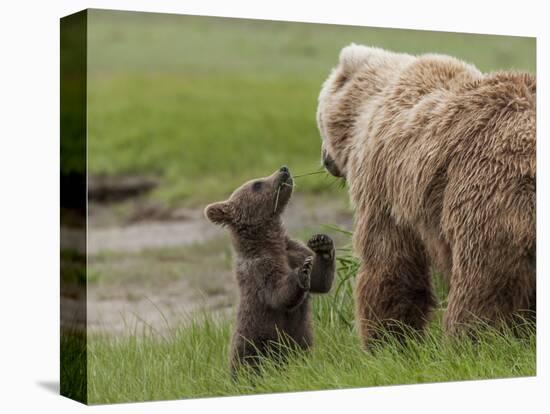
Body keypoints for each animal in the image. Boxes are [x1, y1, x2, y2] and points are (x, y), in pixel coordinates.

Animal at [316, 45, 536, 348]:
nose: (325, 159)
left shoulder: (382, 180)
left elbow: (388, 259)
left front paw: (387, 339)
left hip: (488, 192)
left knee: (483, 283)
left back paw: (472, 340)